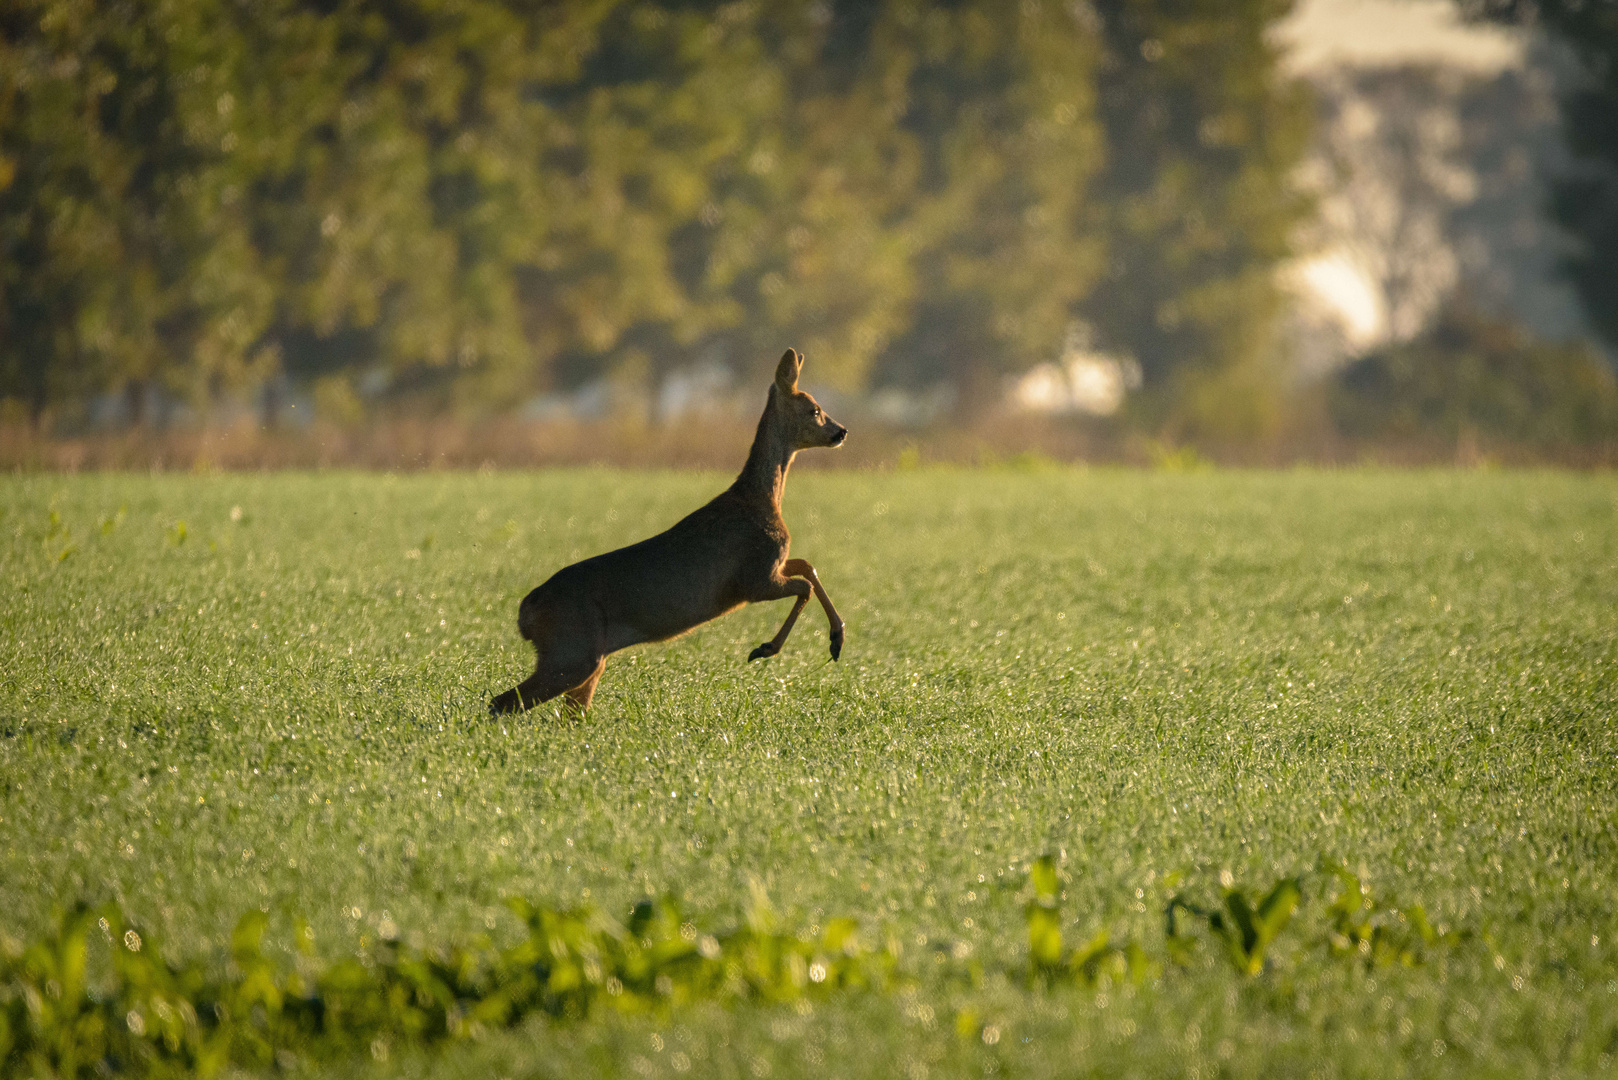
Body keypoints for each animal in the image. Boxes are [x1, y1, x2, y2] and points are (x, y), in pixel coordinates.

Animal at [488, 348, 847, 718]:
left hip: (586, 659)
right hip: (572, 650)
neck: (760, 499)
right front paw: (767, 648)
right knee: (502, 703)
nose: (841, 431)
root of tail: (525, 614)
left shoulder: (771, 566)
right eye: (814, 409)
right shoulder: (755, 577)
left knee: (561, 710)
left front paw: (836, 638)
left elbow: (807, 566)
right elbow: (804, 585)